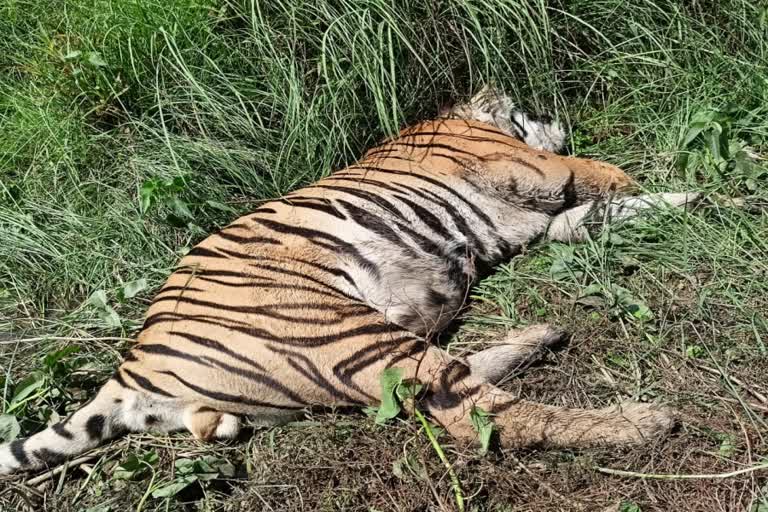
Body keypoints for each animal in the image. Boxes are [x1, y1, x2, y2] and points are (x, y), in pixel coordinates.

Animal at [0, 86, 704, 474]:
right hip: (341, 331)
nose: (555, 116)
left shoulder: (545, 217)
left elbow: (604, 215)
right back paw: (644, 421)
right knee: (478, 412)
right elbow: (596, 173)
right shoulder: (528, 167)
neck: (464, 119)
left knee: (442, 383)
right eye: (528, 110)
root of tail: (132, 366)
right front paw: (662, 183)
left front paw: (692, 201)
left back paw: (541, 334)